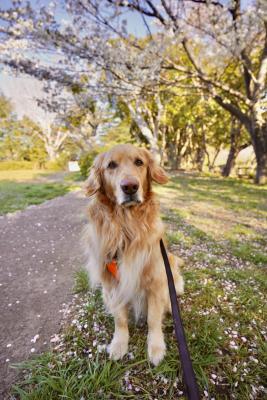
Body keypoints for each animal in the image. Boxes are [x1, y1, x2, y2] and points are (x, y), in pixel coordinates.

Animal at [84, 145, 184, 366]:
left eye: (139, 162)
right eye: (111, 165)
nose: (130, 187)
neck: (127, 226)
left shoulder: (157, 282)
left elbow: (153, 319)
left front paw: (156, 347)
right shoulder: (112, 285)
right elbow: (120, 319)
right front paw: (119, 344)